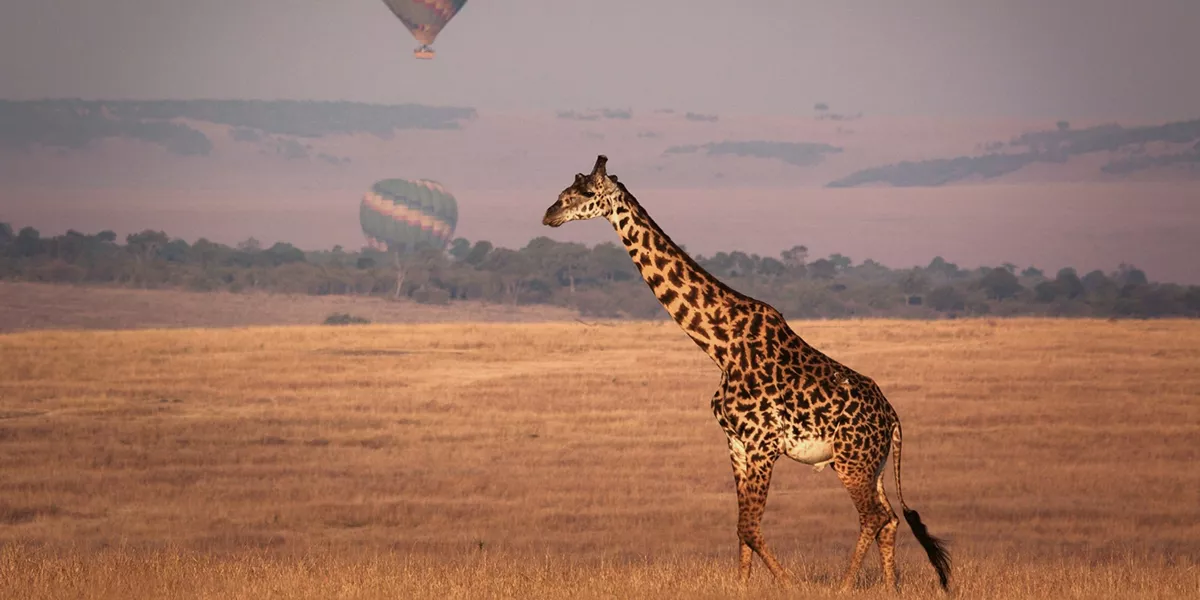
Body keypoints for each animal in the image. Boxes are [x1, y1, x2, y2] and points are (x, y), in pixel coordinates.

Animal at [541, 156, 951, 592]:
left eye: (585, 192)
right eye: (566, 189)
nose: (549, 214)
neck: (720, 345)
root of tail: (892, 418)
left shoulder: (761, 443)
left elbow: (751, 528)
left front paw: (790, 584)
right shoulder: (736, 443)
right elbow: (741, 528)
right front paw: (742, 585)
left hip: (851, 461)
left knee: (874, 516)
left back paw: (843, 586)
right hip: (871, 463)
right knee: (889, 519)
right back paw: (890, 587)